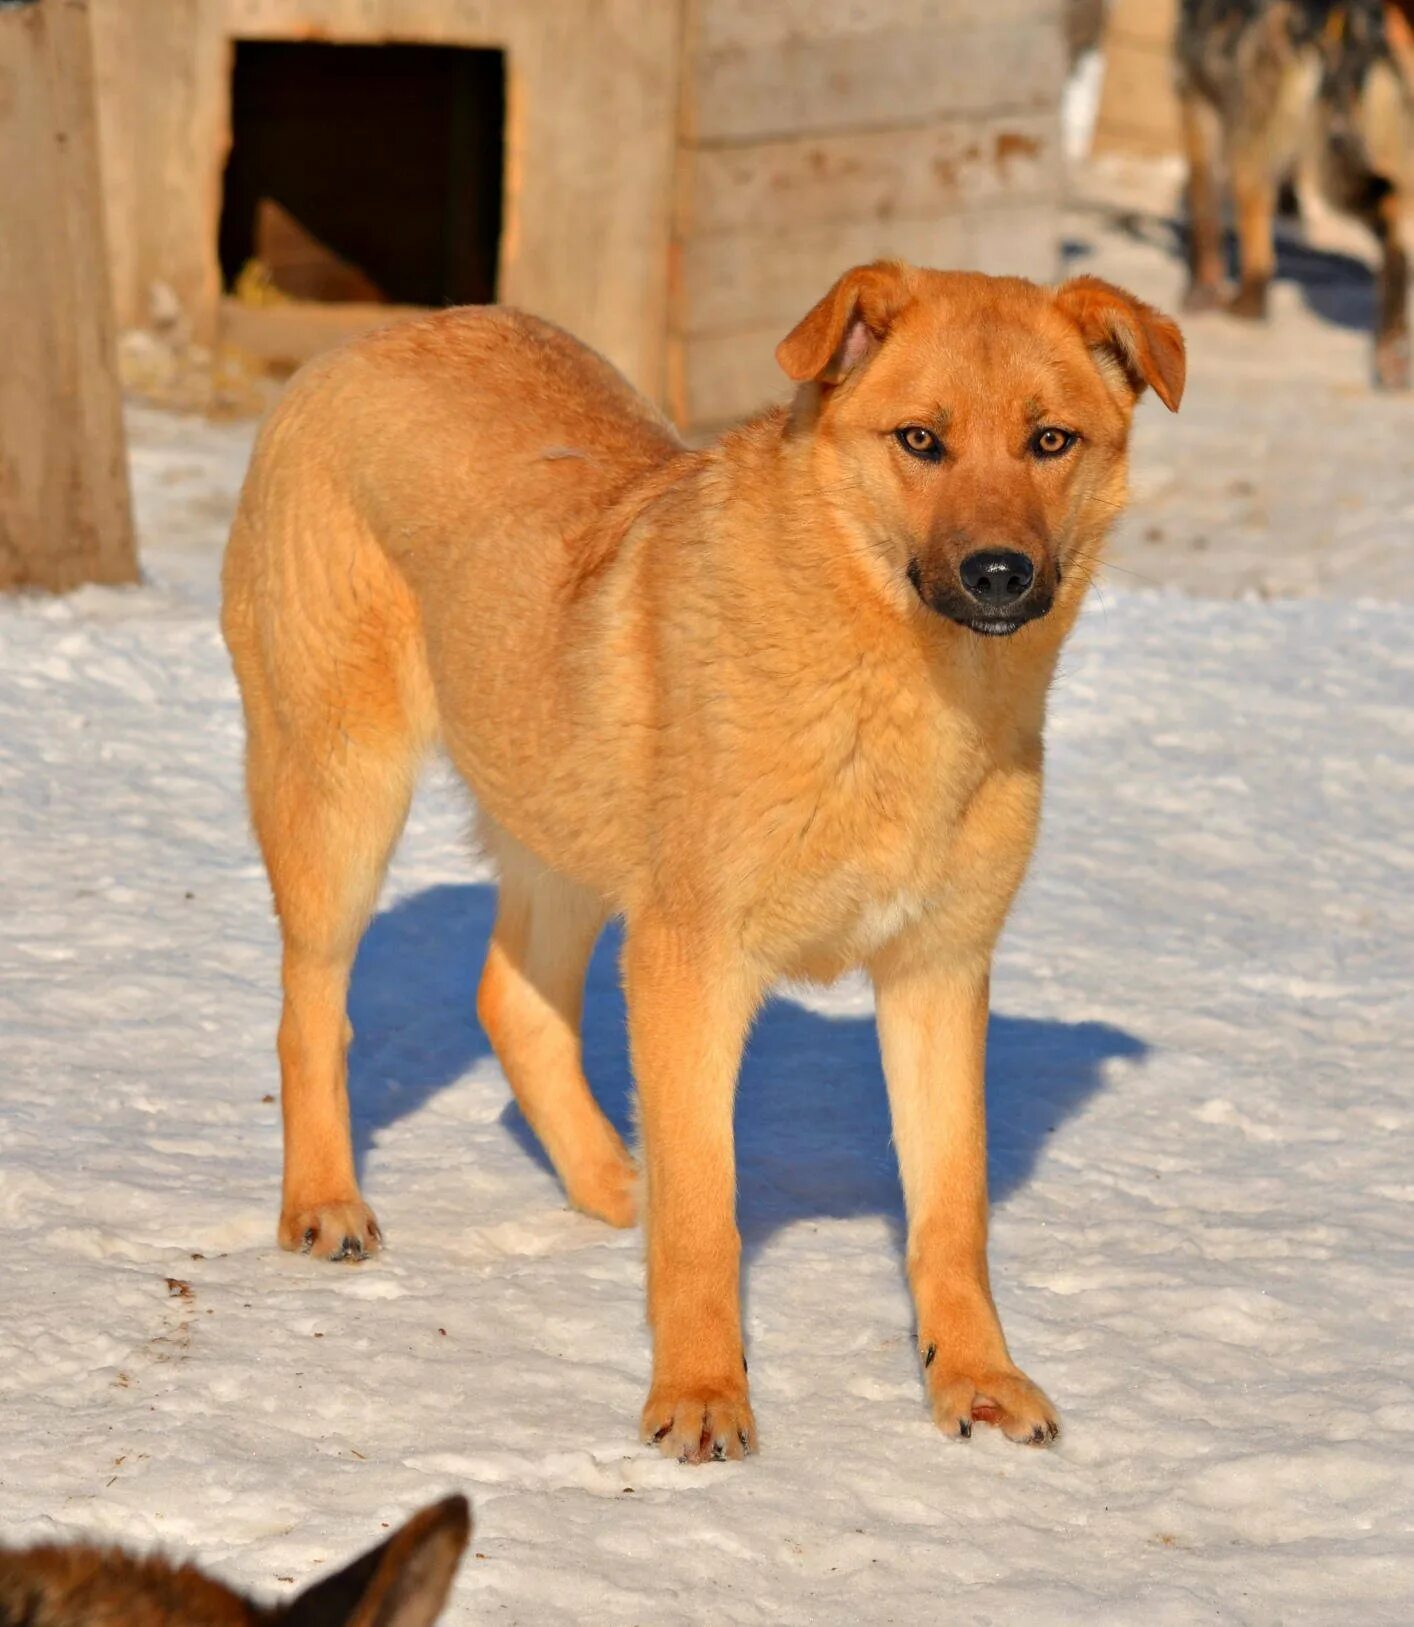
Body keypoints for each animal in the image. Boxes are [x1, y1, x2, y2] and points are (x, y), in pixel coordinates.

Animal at [221, 263, 1184, 1464]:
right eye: (921, 439)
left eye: (1051, 440)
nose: (999, 574)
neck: (896, 688)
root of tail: (378, 337)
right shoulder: (692, 962)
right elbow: (705, 1222)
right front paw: (698, 1395)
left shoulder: (937, 972)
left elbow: (949, 1210)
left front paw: (975, 1378)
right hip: (342, 794)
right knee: (311, 1007)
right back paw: (325, 1202)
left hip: (567, 820)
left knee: (510, 996)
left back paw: (609, 1183)